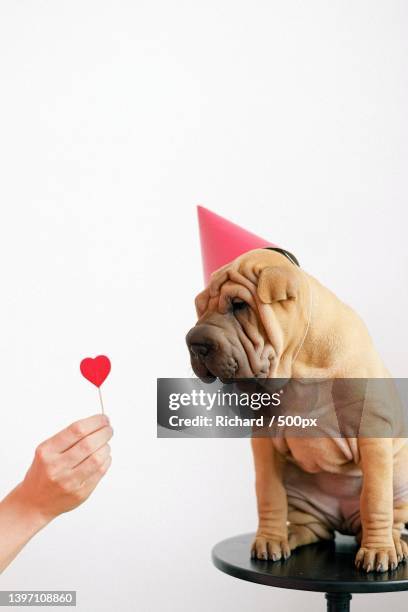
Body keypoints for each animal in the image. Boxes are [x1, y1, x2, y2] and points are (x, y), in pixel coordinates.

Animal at [186, 246, 408, 572]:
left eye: (239, 305)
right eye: (200, 307)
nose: (194, 343)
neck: (299, 362)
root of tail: (343, 520)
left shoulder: (372, 433)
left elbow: (375, 499)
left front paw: (378, 550)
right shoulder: (264, 443)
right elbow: (269, 494)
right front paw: (269, 539)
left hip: (401, 483)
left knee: (390, 515)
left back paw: (393, 542)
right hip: (299, 492)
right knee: (312, 527)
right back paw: (290, 536)